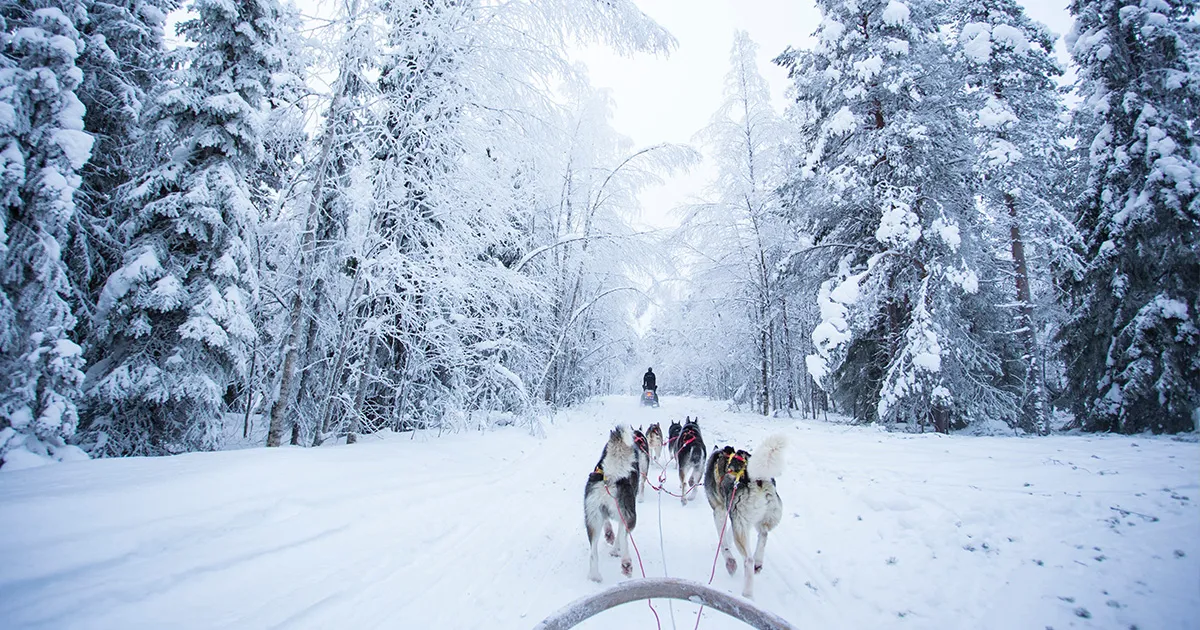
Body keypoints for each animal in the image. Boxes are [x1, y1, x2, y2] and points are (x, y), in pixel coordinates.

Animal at [585, 424, 643, 583]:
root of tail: (610, 478)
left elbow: (609, 525)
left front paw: (609, 535)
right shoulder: (623, 517)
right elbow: (620, 536)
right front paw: (615, 549)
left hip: (592, 520)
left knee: (593, 552)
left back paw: (595, 576)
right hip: (630, 516)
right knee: (624, 539)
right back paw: (626, 563)